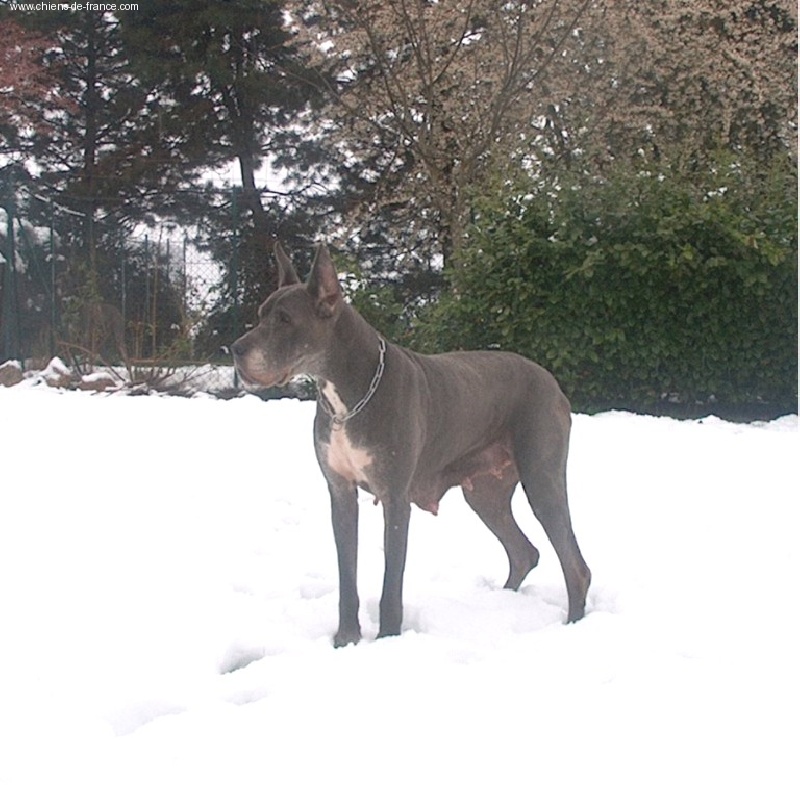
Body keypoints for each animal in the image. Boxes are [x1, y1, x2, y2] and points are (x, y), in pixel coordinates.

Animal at [228, 244, 592, 648]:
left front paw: (387, 638)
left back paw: (573, 624)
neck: (348, 395)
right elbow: (347, 574)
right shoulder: (340, 493)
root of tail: (552, 382)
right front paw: (346, 638)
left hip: (541, 479)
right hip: (485, 494)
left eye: (285, 319)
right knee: (523, 552)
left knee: (574, 564)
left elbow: (392, 580)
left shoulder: (395, 497)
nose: (234, 348)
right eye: (261, 315)